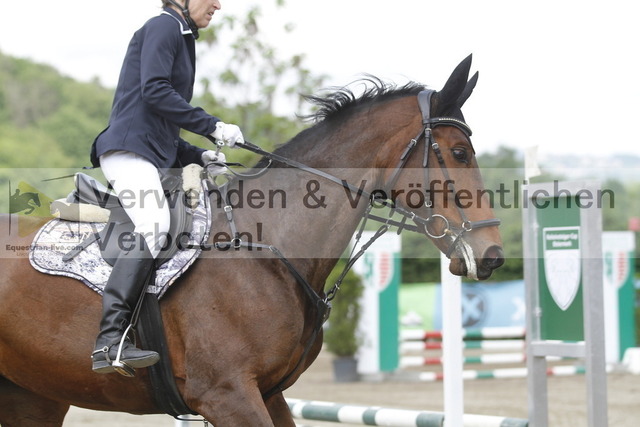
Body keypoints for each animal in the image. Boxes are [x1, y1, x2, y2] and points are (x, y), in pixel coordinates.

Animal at [0, 56, 504, 426]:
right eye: (460, 153)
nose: (492, 255)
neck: (269, 247)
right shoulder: (228, 396)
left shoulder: (269, 393)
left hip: (32, 395)